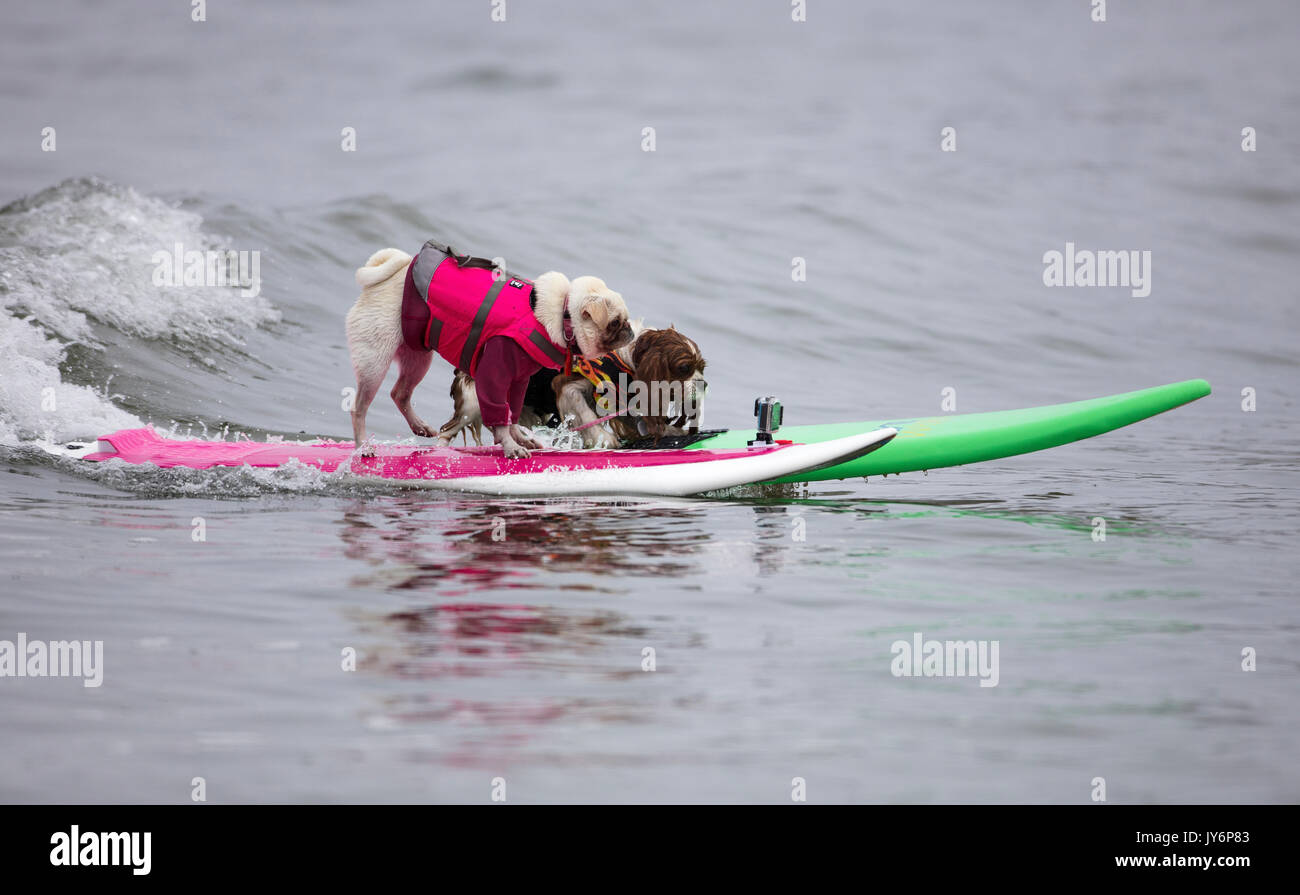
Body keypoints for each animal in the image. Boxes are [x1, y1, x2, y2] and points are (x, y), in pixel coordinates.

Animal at [343, 244, 631, 455]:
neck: (563, 314)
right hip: (375, 360)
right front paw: (511, 446)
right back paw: (363, 447)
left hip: (418, 358)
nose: (629, 330)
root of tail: (399, 269)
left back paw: (420, 427)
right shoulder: (494, 373)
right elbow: (498, 412)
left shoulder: (519, 379)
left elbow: (510, 413)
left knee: (400, 393)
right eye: (615, 322)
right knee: (360, 408)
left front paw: (518, 438)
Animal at [436, 321, 707, 447]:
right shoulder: (568, 386)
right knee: (447, 431)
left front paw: (674, 432)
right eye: (685, 368)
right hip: (473, 402)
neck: (624, 360)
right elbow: (586, 413)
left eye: (702, 367)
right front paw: (603, 438)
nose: (704, 384)